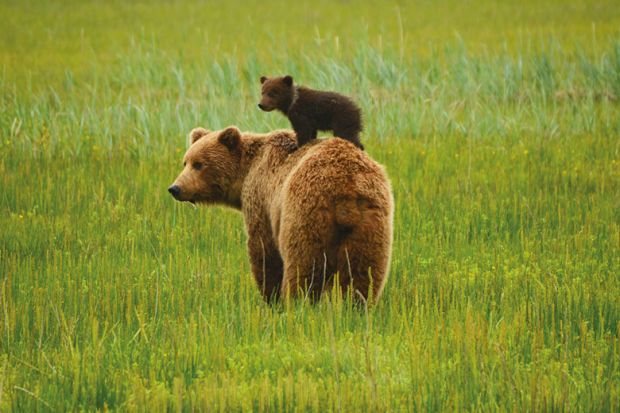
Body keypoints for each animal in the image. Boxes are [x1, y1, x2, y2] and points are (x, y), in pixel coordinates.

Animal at [170, 125, 392, 302]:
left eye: (199, 164)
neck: (246, 172)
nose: (175, 188)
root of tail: (346, 188)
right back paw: (355, 307)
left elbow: (263, 250)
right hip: (371, 222)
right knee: (363, 272)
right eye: (185, 162)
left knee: (303, 266)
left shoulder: (261, 199)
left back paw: (296, 304)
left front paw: (270, 297)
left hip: (305, 214)